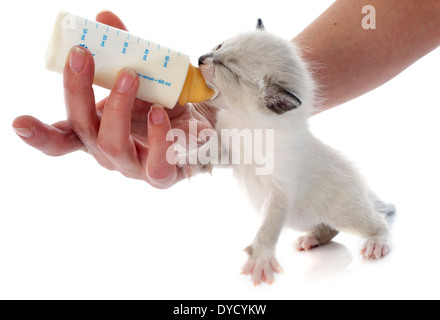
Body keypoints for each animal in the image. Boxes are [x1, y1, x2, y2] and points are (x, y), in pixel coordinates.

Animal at [184, 20, 394, 284]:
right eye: (220, 46)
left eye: (227, 68)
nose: (201, 58)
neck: (246, 122)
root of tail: (363, 187)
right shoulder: (230, 152)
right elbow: (208, 149)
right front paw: (187, 158)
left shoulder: (279, 194)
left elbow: (267, 229)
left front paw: (260, 261)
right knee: (329, 228)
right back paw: (311, 239)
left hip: (347, 212)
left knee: (377, 222)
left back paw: (378, 243)